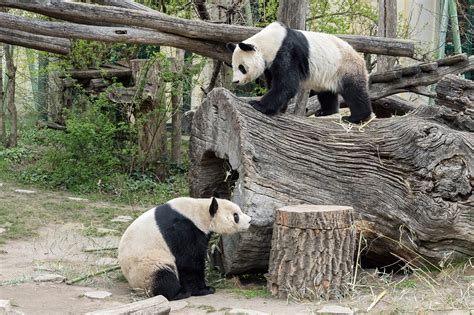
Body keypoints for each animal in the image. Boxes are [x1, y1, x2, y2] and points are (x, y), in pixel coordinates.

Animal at [117, 198, 252, 302]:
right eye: (236, 215)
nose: (250, 220)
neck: (199, 212)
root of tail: (137, 288)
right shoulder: (182, 230)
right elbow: (189, 261)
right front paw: (204, 290)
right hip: (147, 266)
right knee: (163, 275)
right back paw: (179, 294)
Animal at [227, 21, 374, 123]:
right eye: (233, 66)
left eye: (241, 67)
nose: (236, 81)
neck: (269, 42)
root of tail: (360, 58)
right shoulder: (270, 64)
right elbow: (275, 83)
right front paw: (281, 108)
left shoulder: (286, 52)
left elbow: (287, 84)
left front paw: (258, 105)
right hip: (328, 74)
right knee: (326, 93)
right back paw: (325, 111)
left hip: (346, 67)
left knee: (354, 92)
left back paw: (356, 117)